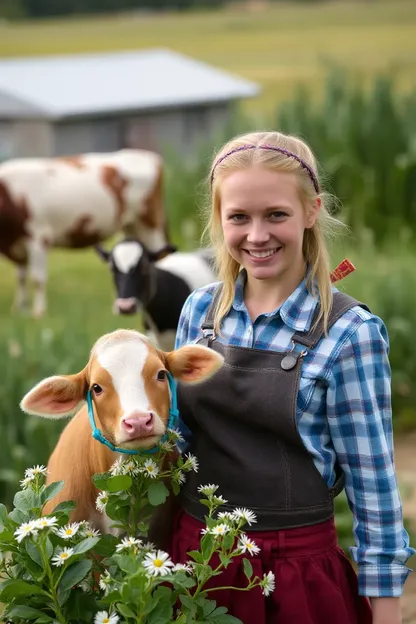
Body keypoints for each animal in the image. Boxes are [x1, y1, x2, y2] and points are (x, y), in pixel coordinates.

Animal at [0, 148, 170, 316]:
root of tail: (148, 155)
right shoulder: (18, 243)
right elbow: (20, 277)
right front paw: (19, 308)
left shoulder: (39, 237)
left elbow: (38, 279)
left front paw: (39, 312)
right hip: (132, 227)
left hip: (150, 225)